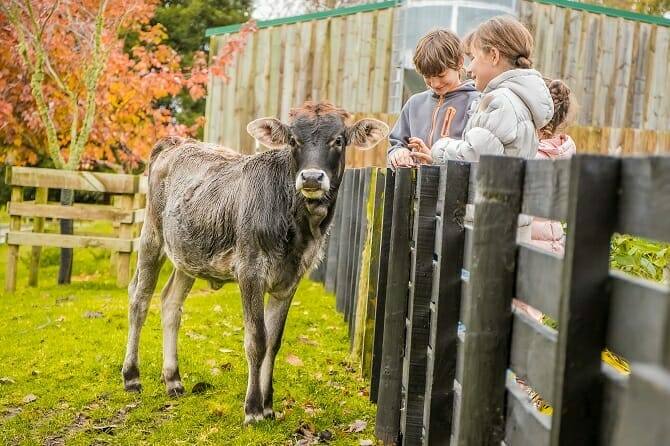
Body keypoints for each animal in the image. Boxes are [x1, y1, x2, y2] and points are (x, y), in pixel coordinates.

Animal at [121, 102, 388, 426]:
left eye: (338, 140)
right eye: (293, 140)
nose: (312, 177)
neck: (297, 228)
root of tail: (177, 142)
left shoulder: (290, 281)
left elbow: (274, 342)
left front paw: (268, 406)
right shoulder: (250, 272)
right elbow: (256, 339)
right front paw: (252, 409)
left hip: (188, 254)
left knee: (170, 302)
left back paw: (173, 379)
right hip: (152, 236)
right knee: (140, 299)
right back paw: (132, 376)